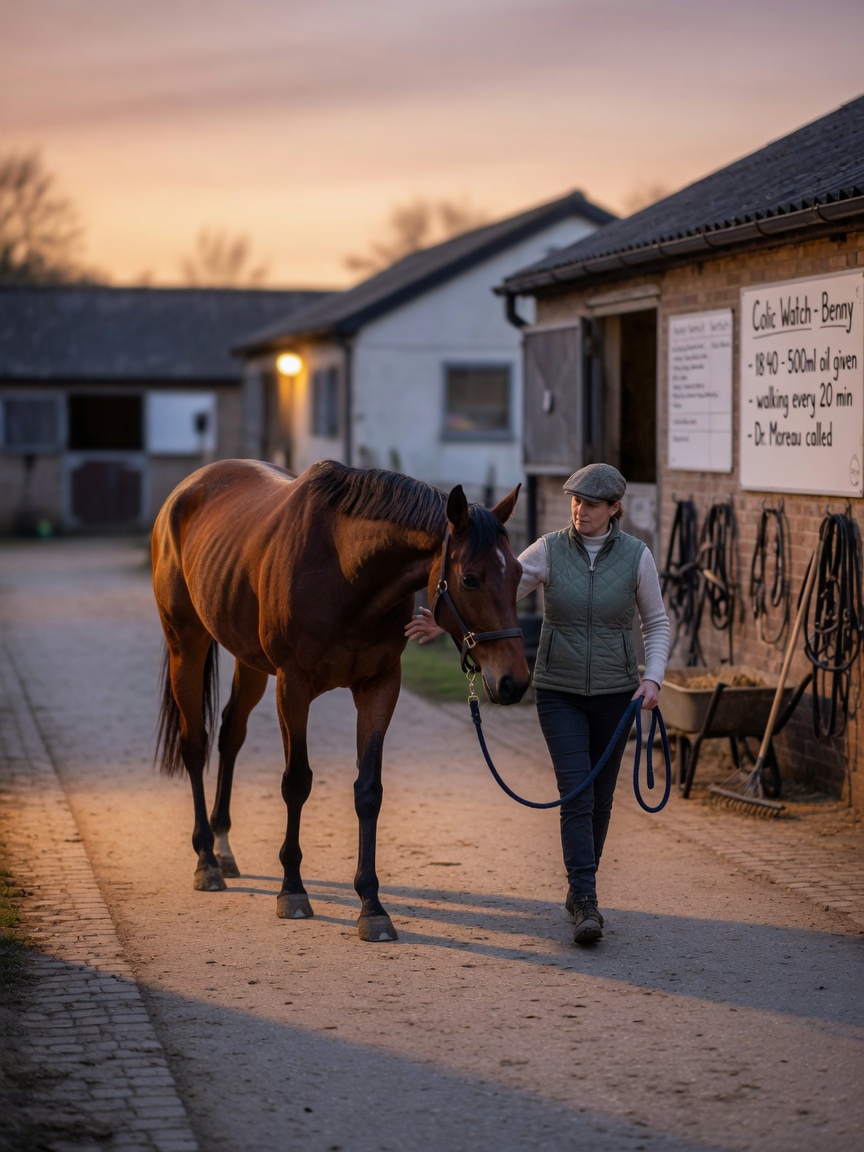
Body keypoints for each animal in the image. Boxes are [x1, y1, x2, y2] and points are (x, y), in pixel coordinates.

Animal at [151, 458, 530, 942]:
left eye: (518, 573)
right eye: (470, 578)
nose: (515, 682)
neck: (345, 571)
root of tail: (185, 490)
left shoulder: (379, 687)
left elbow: (368, 790)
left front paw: (372, 906)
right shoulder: (293, 687)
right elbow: (296, 782)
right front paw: (292, 890)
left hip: (248, 660)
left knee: (230, 734)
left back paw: (223, 846)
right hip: (187, 643)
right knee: (195, 744)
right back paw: (205, 860)